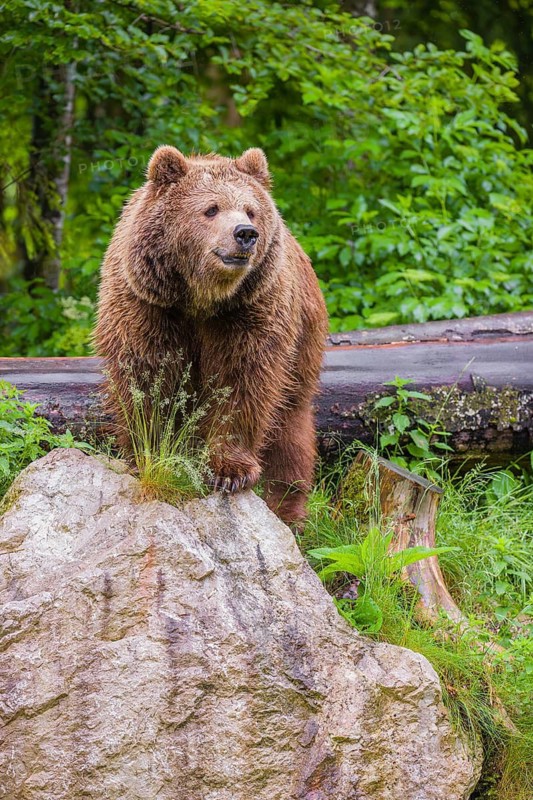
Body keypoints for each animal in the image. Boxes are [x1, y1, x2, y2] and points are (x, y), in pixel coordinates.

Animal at [94, 145, 328, 527]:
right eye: (211, 208)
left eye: (250, 209)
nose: (246, 233)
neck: (202, 298)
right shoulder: (147, 305)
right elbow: (147, 379)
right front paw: (150, 452)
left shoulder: (250, 311)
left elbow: (241, 383)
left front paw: (230, 472)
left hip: (303, 340)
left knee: (289, 427)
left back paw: (287, 509)